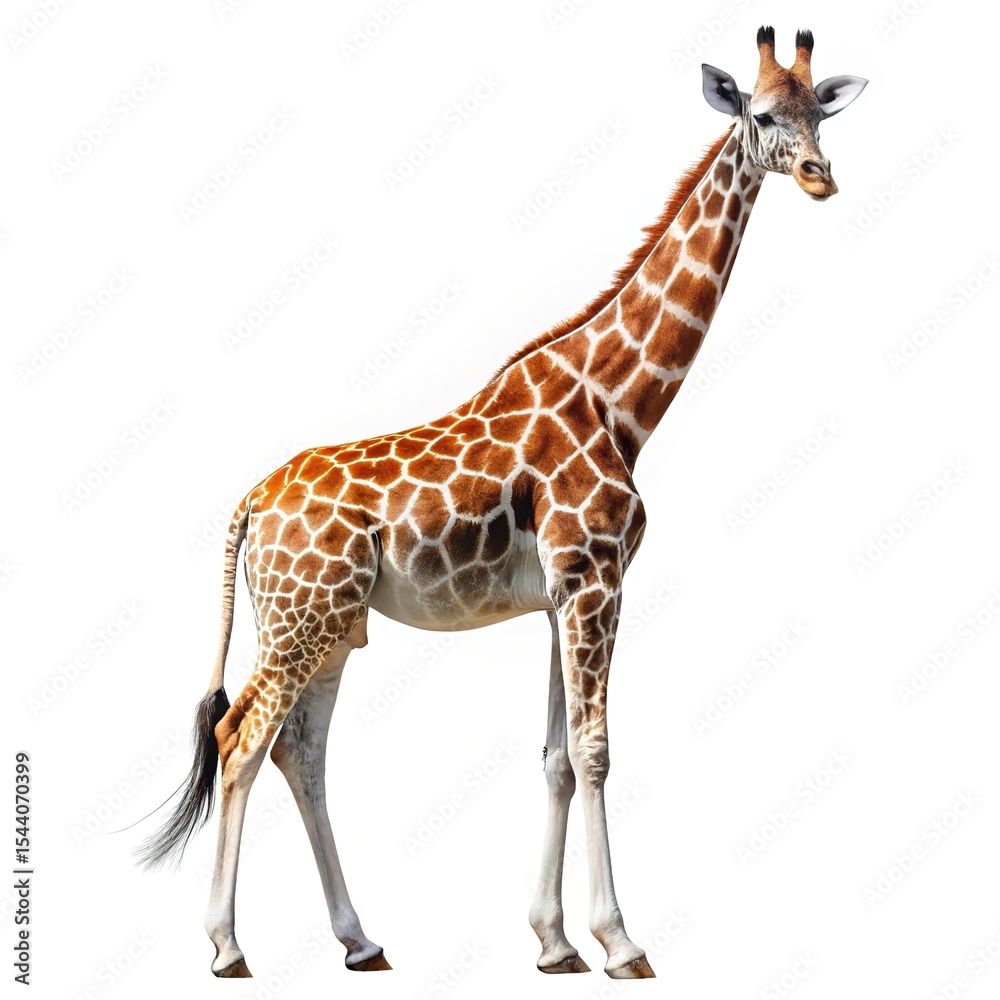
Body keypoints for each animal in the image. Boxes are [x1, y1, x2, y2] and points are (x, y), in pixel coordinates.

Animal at [138, 26, 866, 980]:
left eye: (822, 110)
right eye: (764, 114)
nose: (821, 176)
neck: (620, 402)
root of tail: (249, 505)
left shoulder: (563, 593)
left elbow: (556, 756)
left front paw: (554, 943)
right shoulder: (595, 579)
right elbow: (594, 751)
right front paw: (621, 941)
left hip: (328, 624)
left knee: (302, 752)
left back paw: (360, 939)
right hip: (301, 619)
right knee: (240, 738)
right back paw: (227, 947)